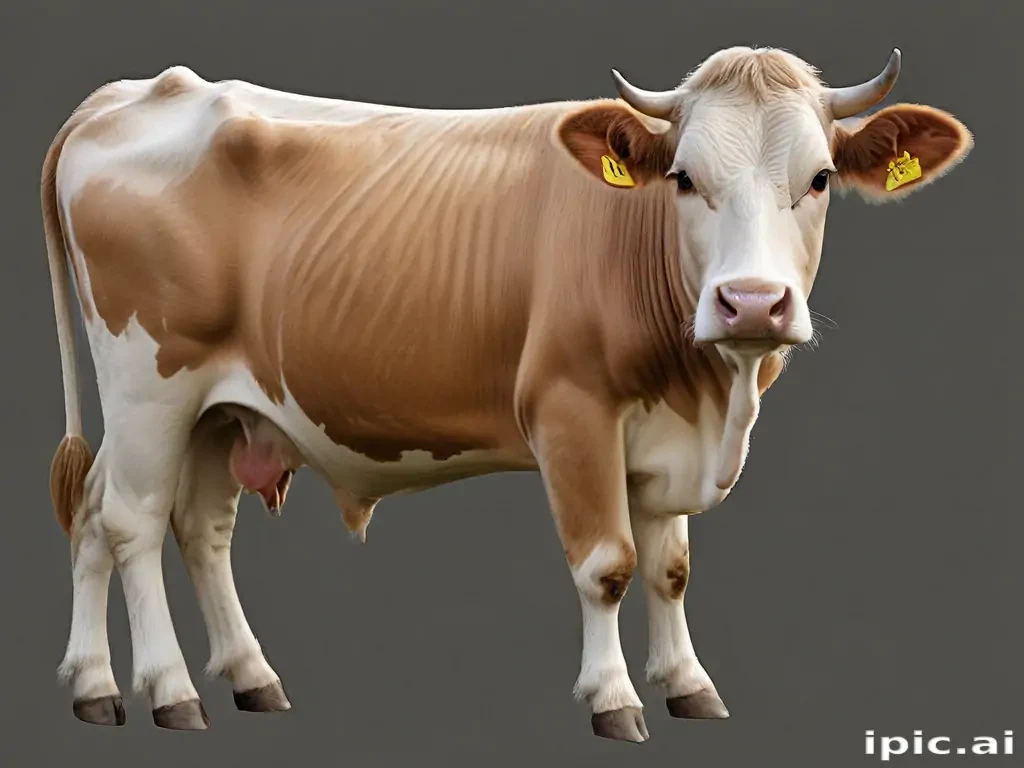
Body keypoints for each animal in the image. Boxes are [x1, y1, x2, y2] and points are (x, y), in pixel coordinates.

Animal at [41, 45, 972, 742]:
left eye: (818, 179)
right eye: (682, 177)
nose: (750, 302)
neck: (711, 398)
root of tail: (128, 94)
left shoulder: (664, 435)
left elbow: (670, 567)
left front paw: (688, 684)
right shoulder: (571, 411)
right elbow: (607, 564)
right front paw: (614, 699)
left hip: (212, 406)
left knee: (169, 522)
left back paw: (150, 682)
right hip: (148, 383)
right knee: (130, 522)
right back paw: (168, 692)